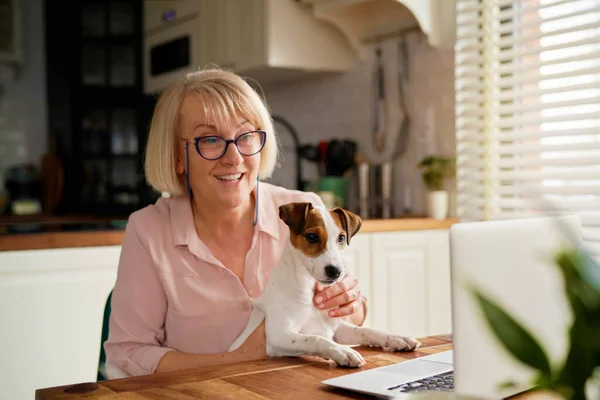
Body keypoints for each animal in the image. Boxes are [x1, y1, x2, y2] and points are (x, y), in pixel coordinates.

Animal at [227, 202, 420, 368]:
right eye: (312, 236)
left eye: (341, 238)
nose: (335, 271)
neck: (310, 291)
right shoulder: (278, 335)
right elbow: (316, 339)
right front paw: (342, 351)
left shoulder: (336, 327)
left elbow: (368, 330)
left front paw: (396, 337)